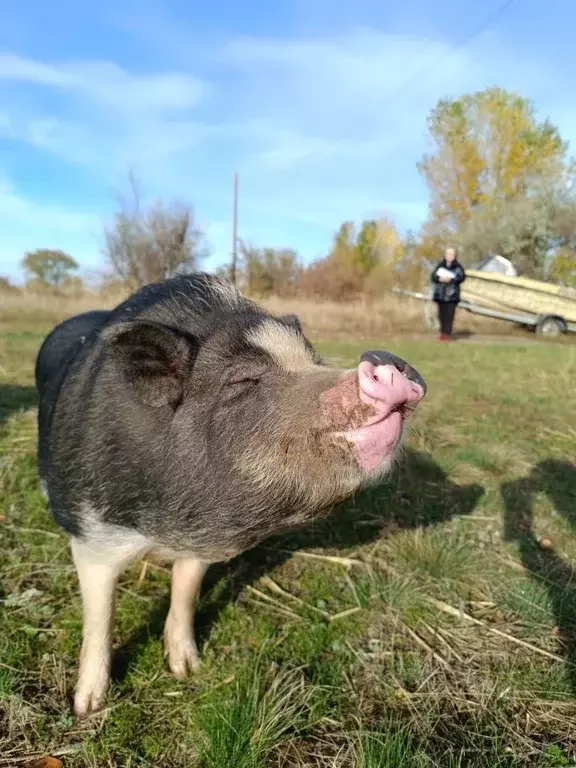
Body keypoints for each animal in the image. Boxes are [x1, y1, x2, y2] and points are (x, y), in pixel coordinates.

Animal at [35, 272, 424, 716]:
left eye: (314, 358)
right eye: (243, 380)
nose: (385, 357)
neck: (167, 531)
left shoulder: (200, 549)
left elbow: (186, 594)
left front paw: (188, 669)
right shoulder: (92, 534)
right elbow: (100, 616)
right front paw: (87, 707)